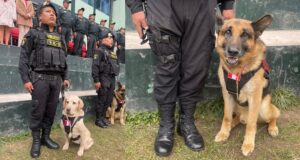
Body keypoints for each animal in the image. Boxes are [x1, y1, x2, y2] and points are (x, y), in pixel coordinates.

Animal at [214, 14, 280, 156]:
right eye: (228, 31)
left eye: (245, 34)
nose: (233, 52)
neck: (237, 71)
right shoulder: (227, 95)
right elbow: (226, 117)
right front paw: (224, 132)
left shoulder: (254, 98)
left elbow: (251, 125)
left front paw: (248, 144)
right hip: (235, 106)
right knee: (236, 118)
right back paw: (233, 124)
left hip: (264, 109)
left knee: (274, 115)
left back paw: (273, 127)